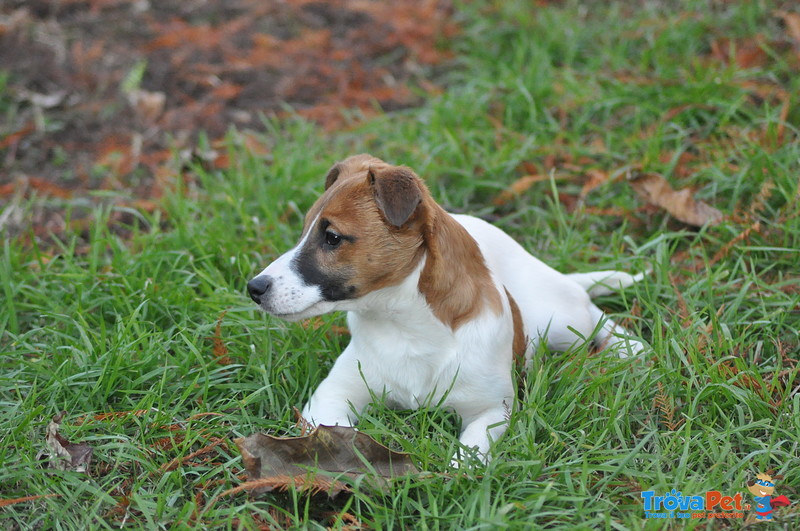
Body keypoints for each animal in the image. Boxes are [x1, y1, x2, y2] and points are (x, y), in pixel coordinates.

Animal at [247, 153, 648, 462]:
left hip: (561, 319)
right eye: (305, 231)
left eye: (331, 238)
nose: (254, 288)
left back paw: (631, 347)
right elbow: (333, 431)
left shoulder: (492, 410)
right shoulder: (331, 395)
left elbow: (469, 454)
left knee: (590, 313)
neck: (404, 325)